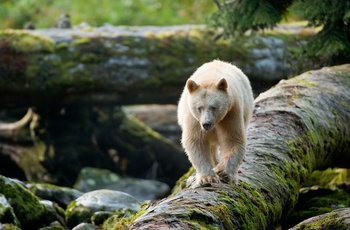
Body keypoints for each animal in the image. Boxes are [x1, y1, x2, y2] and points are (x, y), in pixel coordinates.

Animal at [178, 59, 252, 187]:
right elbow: (196, 141)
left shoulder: (231, 113)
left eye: (214, 107)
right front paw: (207, 178)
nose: (206, 124)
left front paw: (223, 172)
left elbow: (233, 139)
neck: (210, 78)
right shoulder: (194, 119)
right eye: (199, 108)